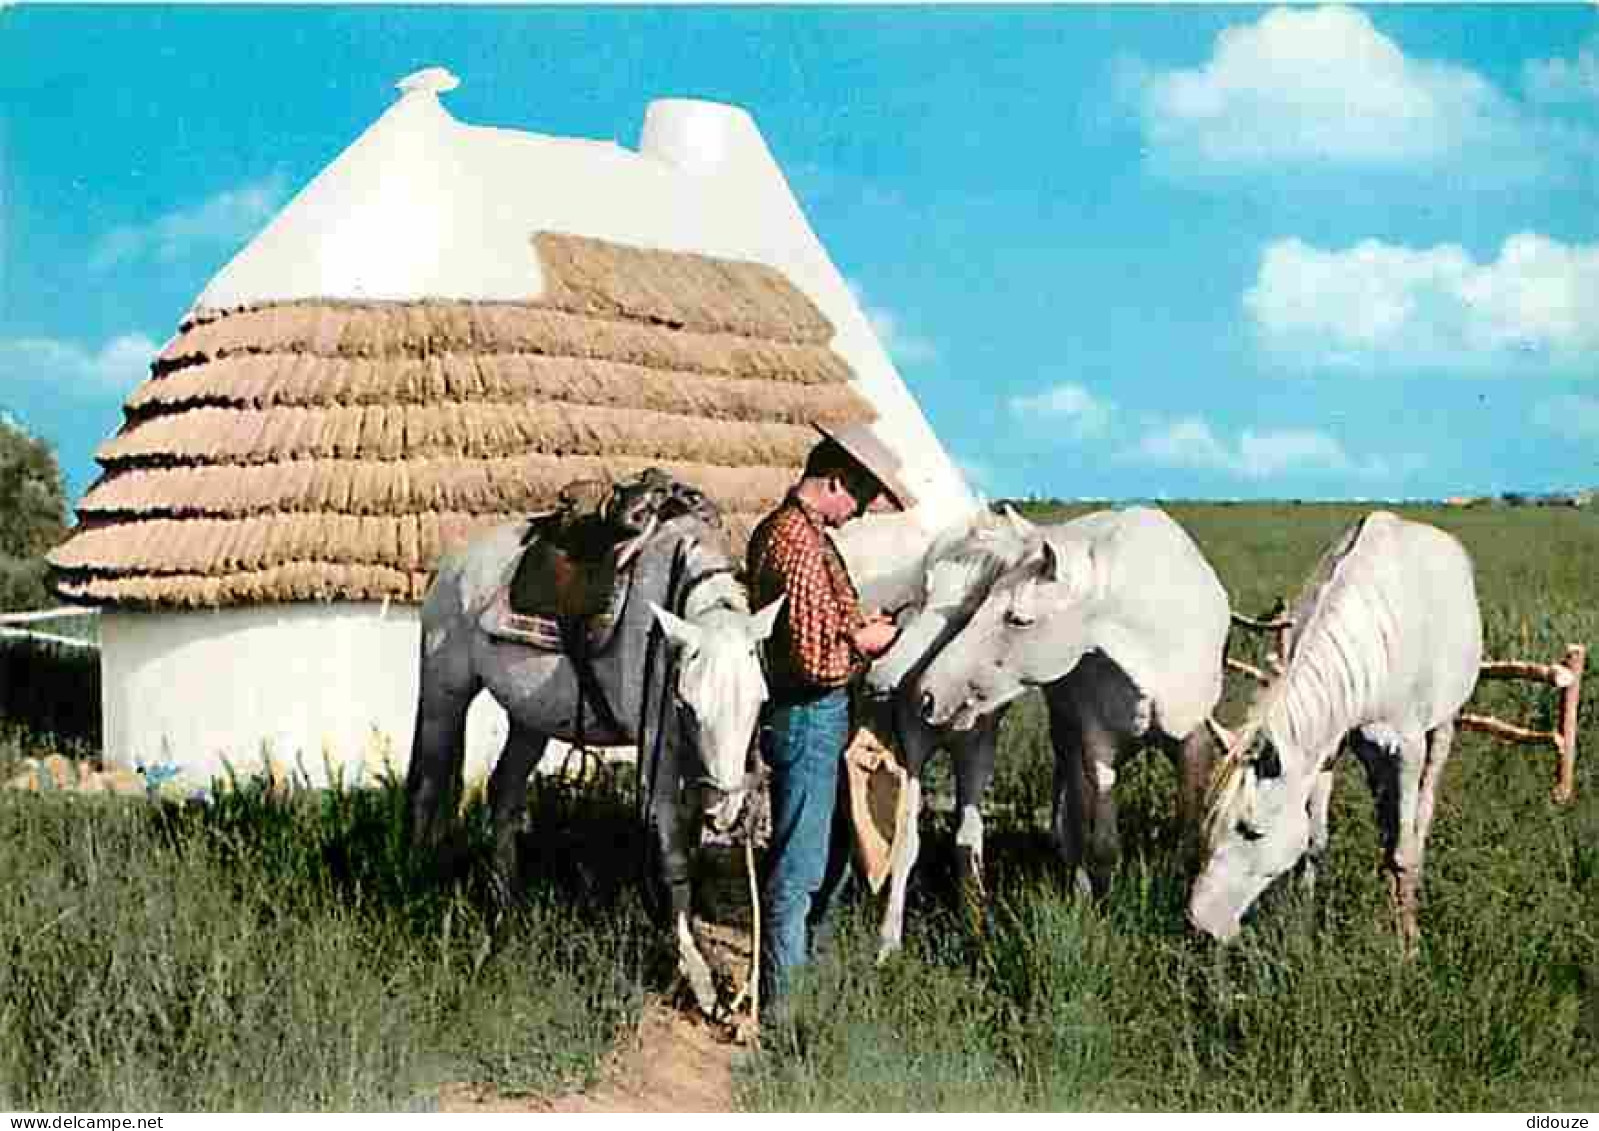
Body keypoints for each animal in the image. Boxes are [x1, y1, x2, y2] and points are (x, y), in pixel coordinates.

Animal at [908, 508, 1228, 895]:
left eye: (1018, 619)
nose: (928, 694)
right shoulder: (1097, 743)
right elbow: (1103, 843)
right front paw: (1096, 899)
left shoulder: (1194, 743)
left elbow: (1189, 836)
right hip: (1066, 733)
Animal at [1189, 511, 1483, 947]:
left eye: (1252, 832)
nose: (1201, 926)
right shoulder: (1327, 747)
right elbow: (1314, 840)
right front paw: (1302, 915)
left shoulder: (1408, 747)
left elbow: (1404, 850)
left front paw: (1408, 940)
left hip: (1443, 725)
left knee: (1422, 808)